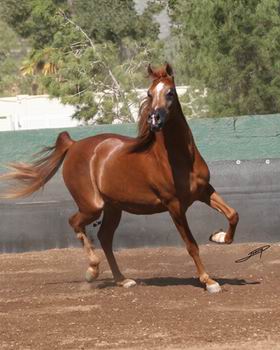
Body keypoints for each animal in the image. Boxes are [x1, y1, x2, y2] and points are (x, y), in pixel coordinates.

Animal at [1, 63, 238, 292]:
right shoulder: (174, 205)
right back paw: (92, 271)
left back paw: (122, 280)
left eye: (170, 92)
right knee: (76, 223)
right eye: (149, 93)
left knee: (105, 237)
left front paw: (218, 237)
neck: (179, 158)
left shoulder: (204, 191)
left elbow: (232, 215)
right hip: (92, 206)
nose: (154, 119)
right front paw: (209, 281)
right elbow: (191, 244)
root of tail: (74, 145)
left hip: (113, 207)